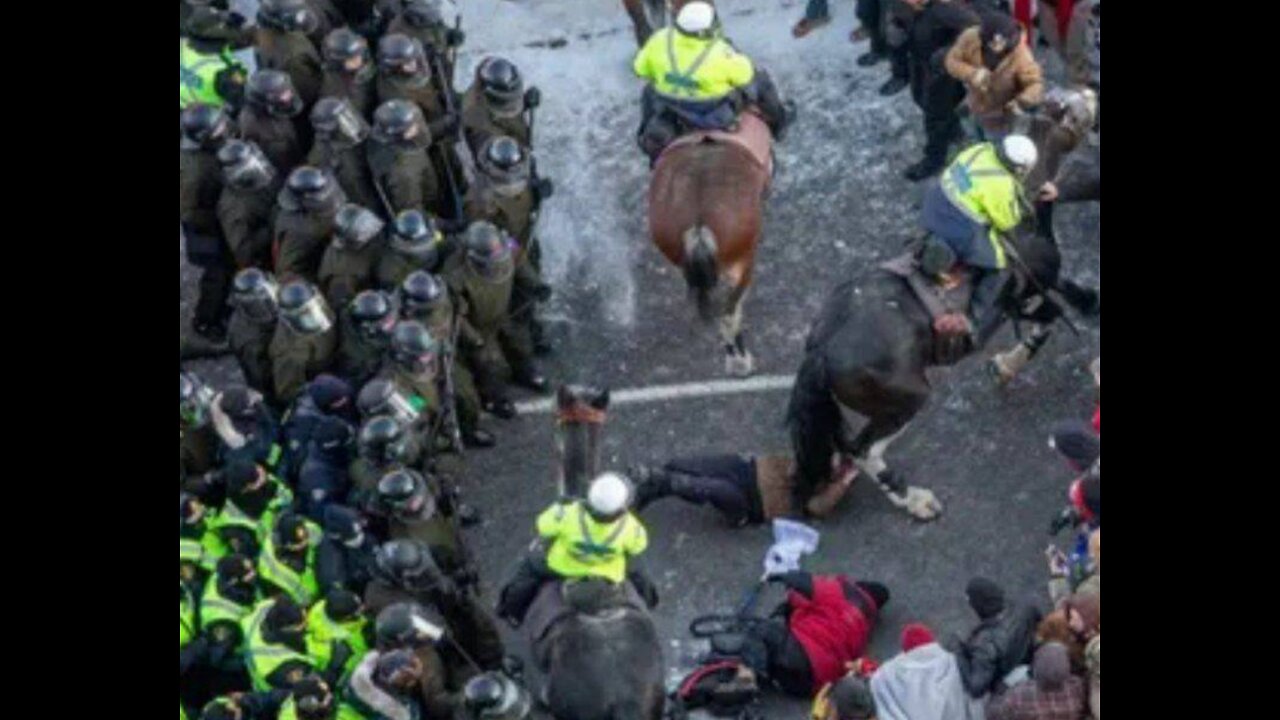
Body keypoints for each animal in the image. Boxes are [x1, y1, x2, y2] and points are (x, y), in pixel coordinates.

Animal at [778, 102, 1100, 515]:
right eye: (1074, 110)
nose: (1094, 107)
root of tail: (822, 349)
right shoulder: (1026, 293)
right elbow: (1047, 322)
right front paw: (1008, 364)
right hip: (905, 399)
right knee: (862, 450)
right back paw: (913, 499)